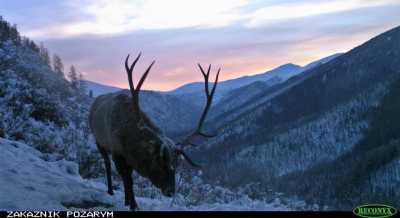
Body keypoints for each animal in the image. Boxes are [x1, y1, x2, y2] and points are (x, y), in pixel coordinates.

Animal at [88, 52, 220, 210]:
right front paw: (133, 205)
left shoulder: (128, 159)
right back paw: (110, 190)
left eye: (176, 165)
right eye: (160, 162)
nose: (170, 191)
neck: (128, 142)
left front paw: (128, 201)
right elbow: (127, 180)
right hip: (98, 140)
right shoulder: (117, 153)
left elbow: (128, 180)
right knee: (106, 163)